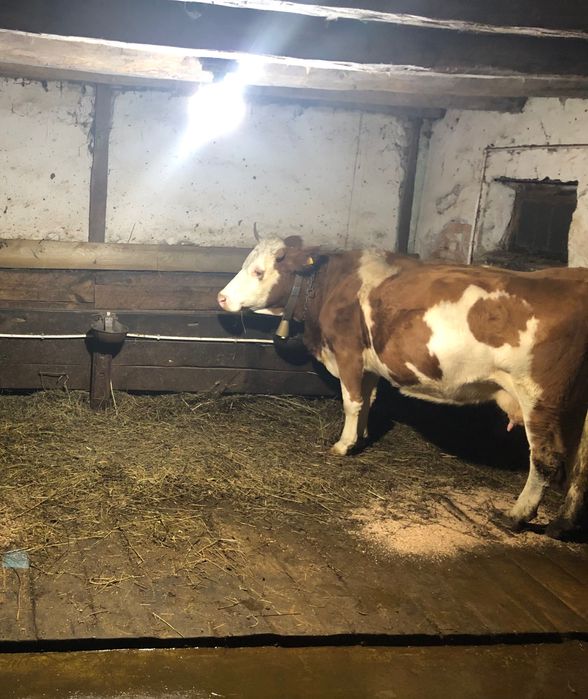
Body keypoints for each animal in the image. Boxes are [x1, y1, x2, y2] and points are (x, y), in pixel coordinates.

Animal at [217, 234, 588, 540]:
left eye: (259, 272)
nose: (221, 298)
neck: (330, 285)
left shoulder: (349, 353)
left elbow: (352, 401)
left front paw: (343, 445)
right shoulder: (369, 364)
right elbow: (368, 399)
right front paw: (362, 436)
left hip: (539, 398)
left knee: (545, 459)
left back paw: (516, 515)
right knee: (581, 464)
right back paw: (562, 522)